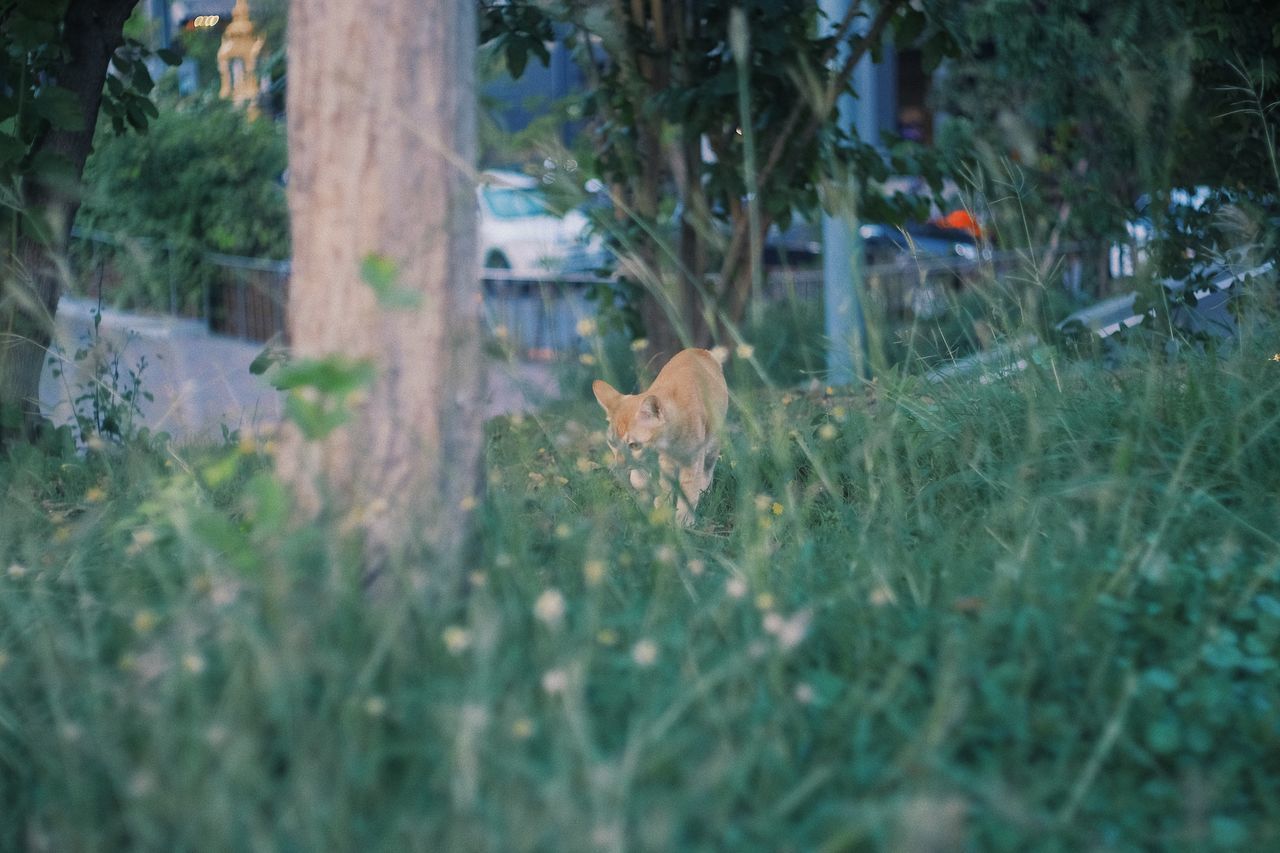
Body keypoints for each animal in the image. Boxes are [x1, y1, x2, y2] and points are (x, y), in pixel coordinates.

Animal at [591, 348, 732, 522]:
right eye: (612, 444)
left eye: (634, 445)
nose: (620, 465)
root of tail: (699, 350)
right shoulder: (663, 465)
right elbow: (656, 487)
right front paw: (661, 514)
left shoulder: (692, 463)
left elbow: (688, 495)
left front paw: (683, 522)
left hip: (712, 446)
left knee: (707, 472)